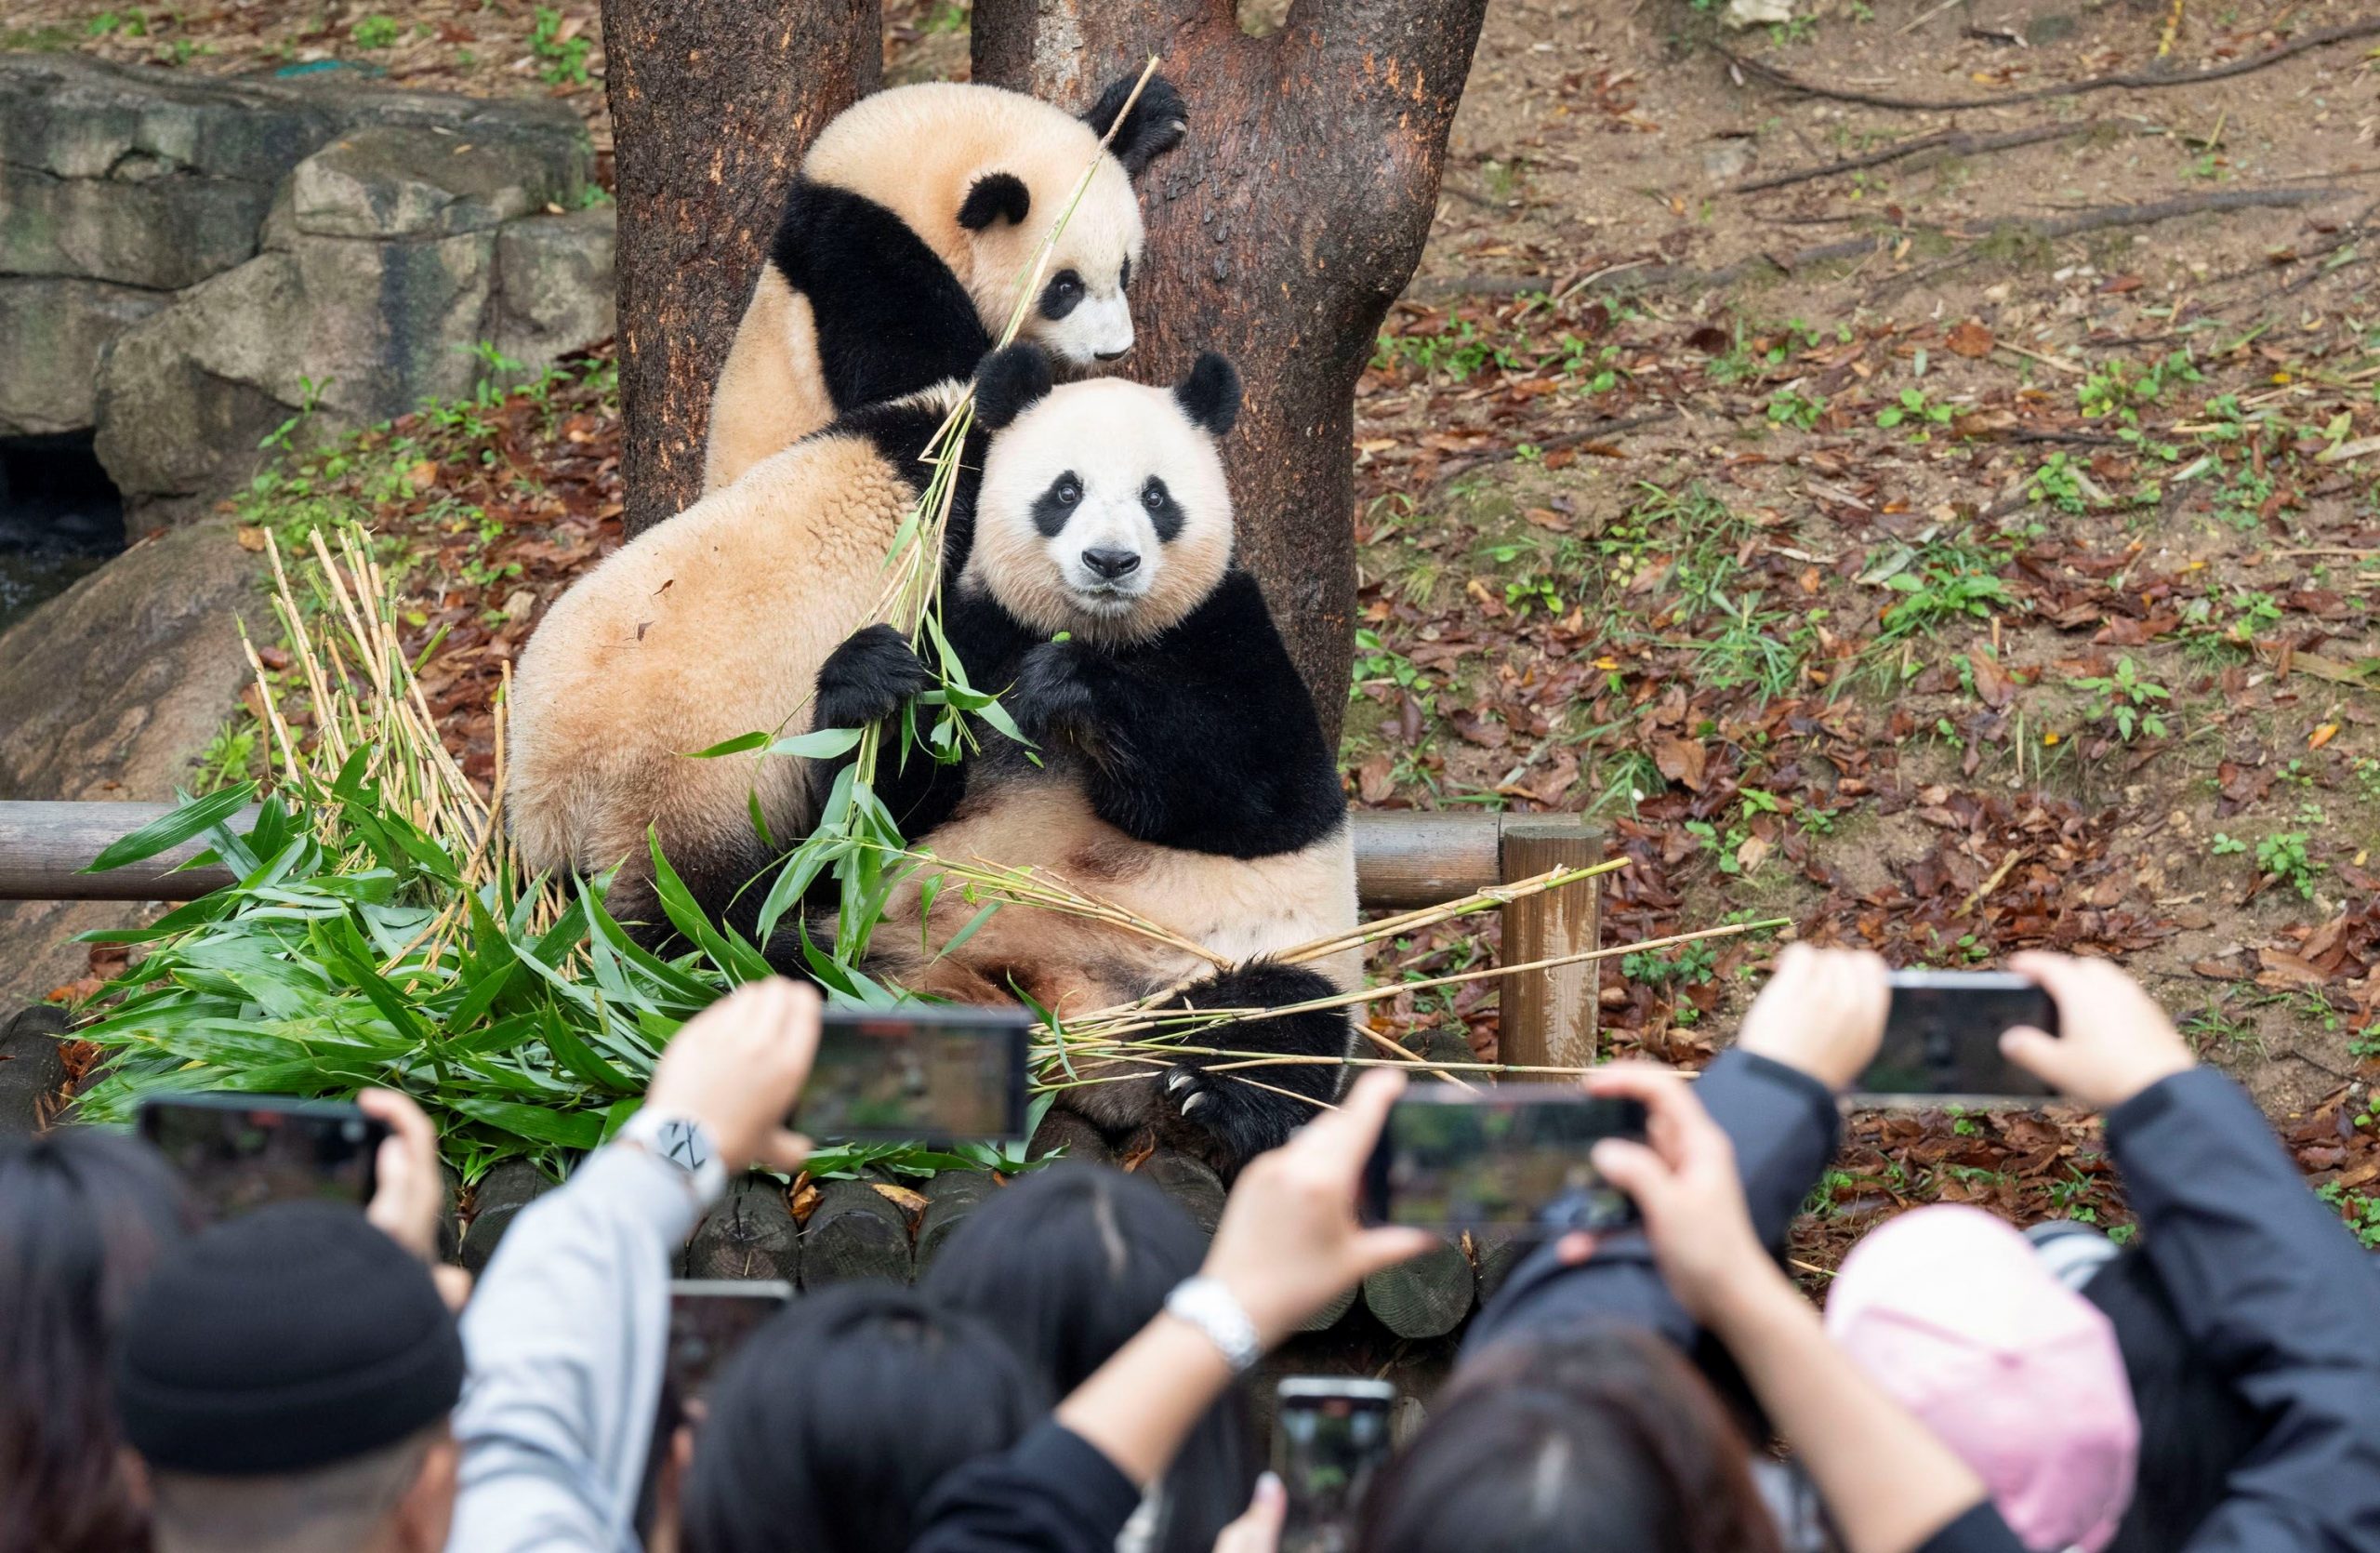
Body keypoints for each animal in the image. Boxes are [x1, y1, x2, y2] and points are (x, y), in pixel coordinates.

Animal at [699, 75, 1190, 495]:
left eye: (1124, 271)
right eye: (1065, 287)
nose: (1114, 351)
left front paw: (1147, 109)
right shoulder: (863, 260)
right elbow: (919, 388)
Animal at [809, 340, 1361, 1161]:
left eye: (1157, 498)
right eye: (1065, 491)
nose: (1110, 561)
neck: (1094, 627)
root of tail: (1088, 1051)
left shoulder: (1228, 630)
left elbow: (1266, 796)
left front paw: (1075, 689)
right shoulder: (971, 638)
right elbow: (878, 809)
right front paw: (870, 678)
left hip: (1263, 953)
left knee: (1279, 1023)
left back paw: (1216, 1092)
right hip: (892, 937)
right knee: (790, 965)